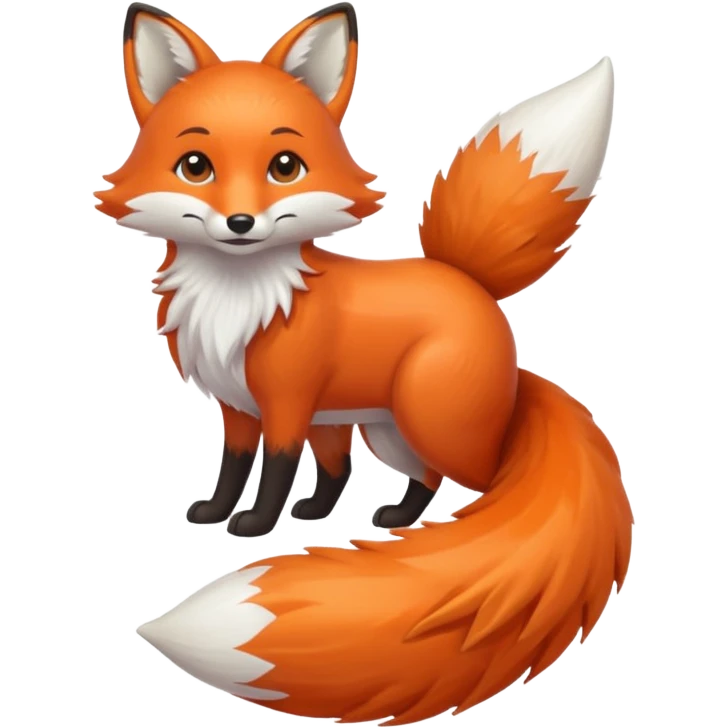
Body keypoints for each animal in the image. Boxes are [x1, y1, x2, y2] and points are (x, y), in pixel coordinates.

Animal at [103, 1, 633, 722]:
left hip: (433, 422)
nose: (240, 223)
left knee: (490, 484)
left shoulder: (288, 401)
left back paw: (454, 536)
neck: (240, 300)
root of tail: (468, 282)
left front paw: (257, 524)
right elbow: (243, 466)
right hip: (382, 429)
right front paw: (221, 512)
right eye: (194, 166)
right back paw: (393, 521)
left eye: (285, 166)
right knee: (403, 476)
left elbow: (274, 470)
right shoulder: (240, 406)